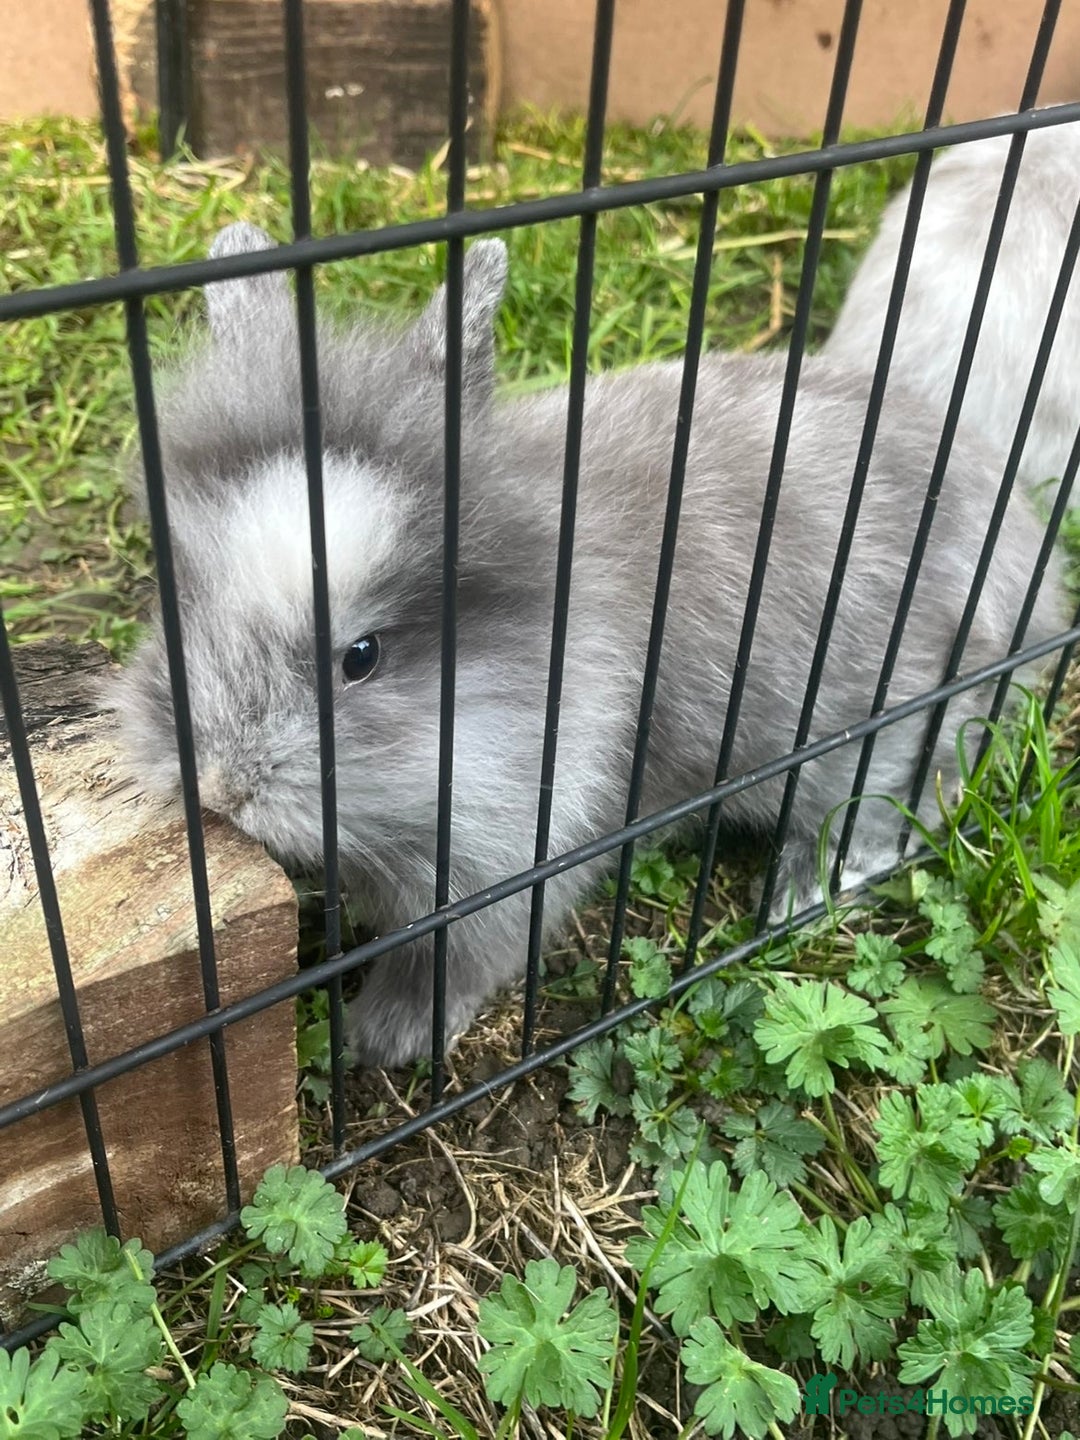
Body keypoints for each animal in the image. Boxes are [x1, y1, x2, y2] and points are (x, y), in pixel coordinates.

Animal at [111, 221, 1067, 1069]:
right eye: (176, 599)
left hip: (886, 725)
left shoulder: (512, 859)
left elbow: (453, 962)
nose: (219, 787)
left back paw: (802, 884)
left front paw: (378, 1040)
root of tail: (1028, 554)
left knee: (905, 796)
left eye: (363, 656)